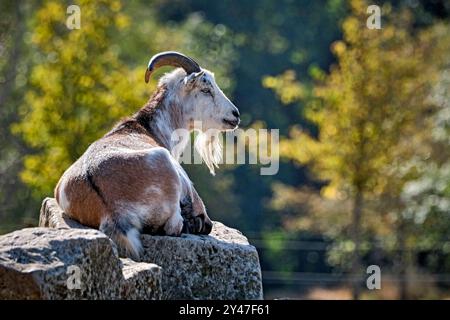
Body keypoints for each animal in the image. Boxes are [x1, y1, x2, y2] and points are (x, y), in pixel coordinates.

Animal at [54, 51, 241, 258]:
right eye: (206, 89)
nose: (235, 114)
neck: (148, 128)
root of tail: (112, 212)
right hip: (164, 165)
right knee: (175, 226)